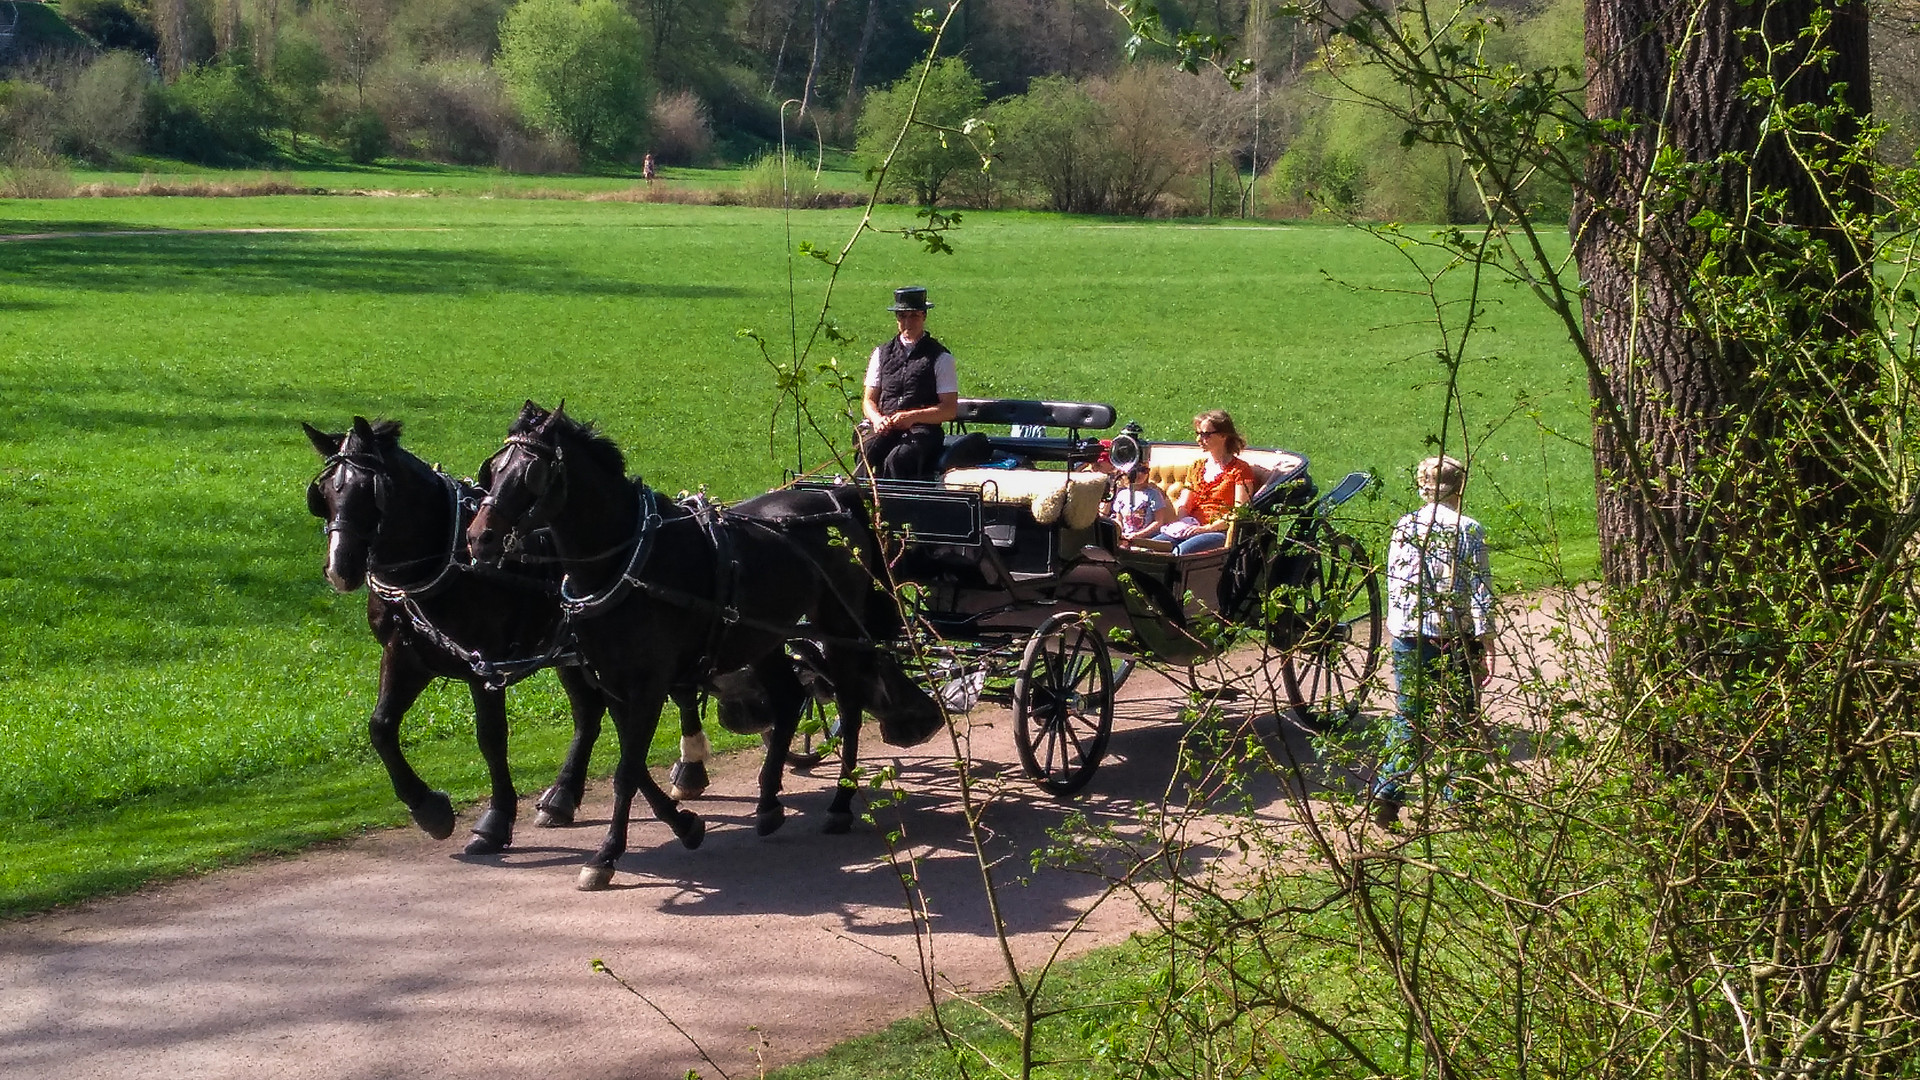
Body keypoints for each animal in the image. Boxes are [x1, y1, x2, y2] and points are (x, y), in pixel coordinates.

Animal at [466, 399, 944, 887]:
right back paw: (768, 804)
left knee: (848, 704)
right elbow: (633, 765)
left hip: (840, 624)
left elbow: (626, 771)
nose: (478, 536)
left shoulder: (648, 685)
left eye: (532, 473)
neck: (627, 563)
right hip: (765, 634)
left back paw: (841, 803)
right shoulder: (614, 683)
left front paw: (605, 855)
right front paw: (684, 823)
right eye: (494, 467)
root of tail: (837, 498)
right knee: (790, 698)